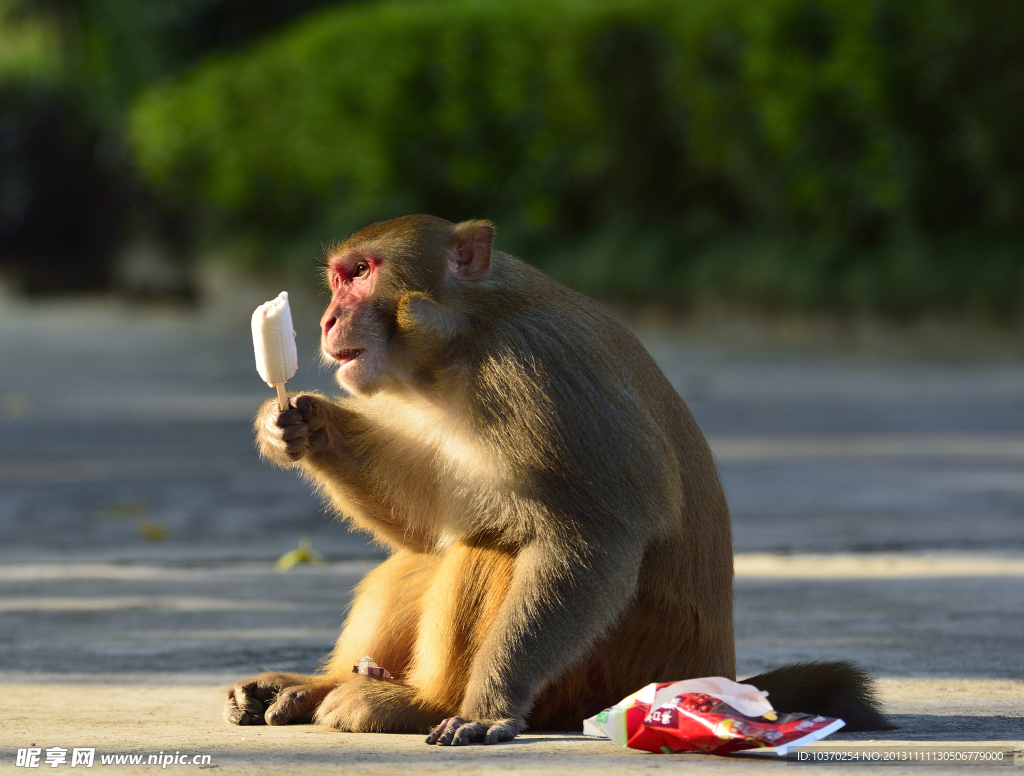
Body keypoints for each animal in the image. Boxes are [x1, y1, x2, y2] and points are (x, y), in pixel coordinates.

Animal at [224, 213, 888, 749]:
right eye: (339, 278)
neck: (466, 341)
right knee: (434, 551)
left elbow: (593, 537)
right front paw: (302, 425)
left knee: (490, 547)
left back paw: (420, 704)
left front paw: (487, 708)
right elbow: (429, 519)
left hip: (603, 676)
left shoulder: (537, 373)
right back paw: (314, 686)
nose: (327, 318)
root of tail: (711, 674)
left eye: (362, 273)